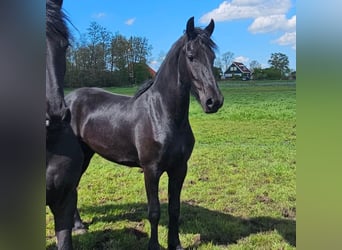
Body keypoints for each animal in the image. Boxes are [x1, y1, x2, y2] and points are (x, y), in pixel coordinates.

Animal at [66, 16, 224, 249]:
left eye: (212, 57)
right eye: (191, 56)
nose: (214, 101)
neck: (162, 115)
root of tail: (67, 100)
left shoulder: (179, 169)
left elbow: (174, 209)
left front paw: (176, 244)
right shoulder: (151, 170)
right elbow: (154, 211)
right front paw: (154, 245)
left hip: (86, 154)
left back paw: (78, 225)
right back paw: (77, 227)